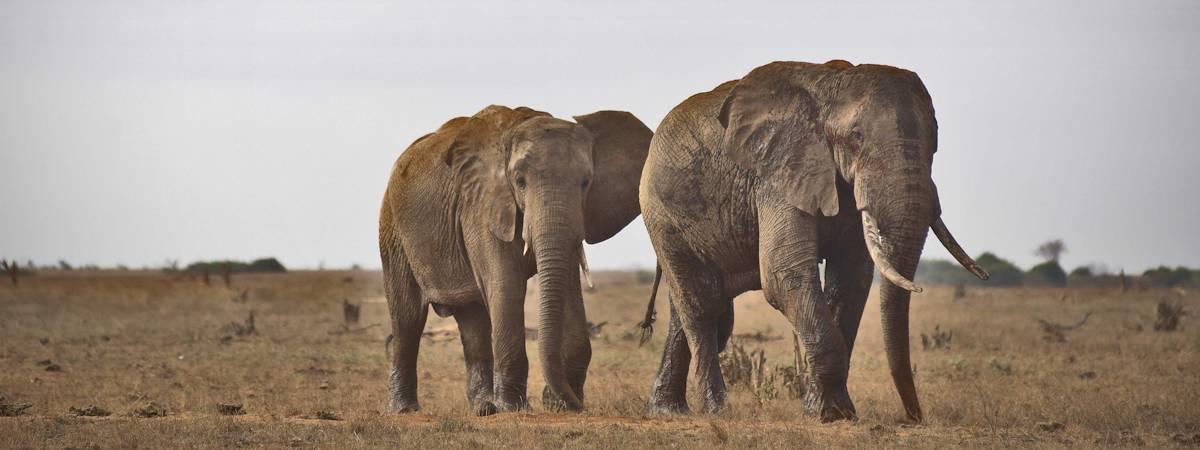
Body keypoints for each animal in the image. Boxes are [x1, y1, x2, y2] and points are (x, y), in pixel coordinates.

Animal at [379, 105, 652, 415]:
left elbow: (568, 285)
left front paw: (557, 404)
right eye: (520, 182)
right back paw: (404, 409)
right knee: (408, 318)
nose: (574, 406)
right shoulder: (482, 205)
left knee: (474, 322)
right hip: (392, 227)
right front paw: (515, 407)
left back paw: (484, 408)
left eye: (586, 183)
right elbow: (506, 285)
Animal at [638, 60, 984, 422]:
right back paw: (715, 411)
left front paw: (832, 412)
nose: (913, 416)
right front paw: (831, 414)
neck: (829, 88)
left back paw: (668, 410)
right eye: (856, 137)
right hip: (662, 216)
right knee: (702, 306)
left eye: (934, 144)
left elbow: (852, 278)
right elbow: (783, 273)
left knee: (690, 310)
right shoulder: (778, 172)